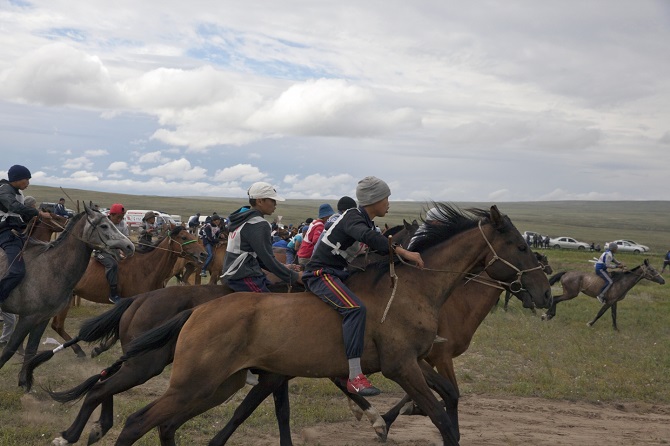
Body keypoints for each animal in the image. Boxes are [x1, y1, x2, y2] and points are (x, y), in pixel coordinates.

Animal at [0, 204, 135, 386]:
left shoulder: (41, 318)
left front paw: (24, 383)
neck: (52, 267)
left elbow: (31, 349)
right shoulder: (27, 318)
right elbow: (10, 349)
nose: (130, 247)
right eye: (104, 226)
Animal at [52, 225, 206, 358]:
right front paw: (99, 348)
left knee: (56, 326)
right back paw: (78, 350)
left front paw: (99, 348)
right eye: (183, 237)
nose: (203, 254)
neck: (147, 268)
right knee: (58, 326)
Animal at [107, 204, 552, 444]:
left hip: (215, 385)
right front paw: (379, 419)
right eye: (521, 246)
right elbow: (440, 416)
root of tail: (196, 312)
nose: (545, 295)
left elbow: (450, 399)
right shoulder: (402, 367)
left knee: (161, 422)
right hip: (191, 382)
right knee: (136, 421)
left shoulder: (415, 361)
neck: (414, 288)